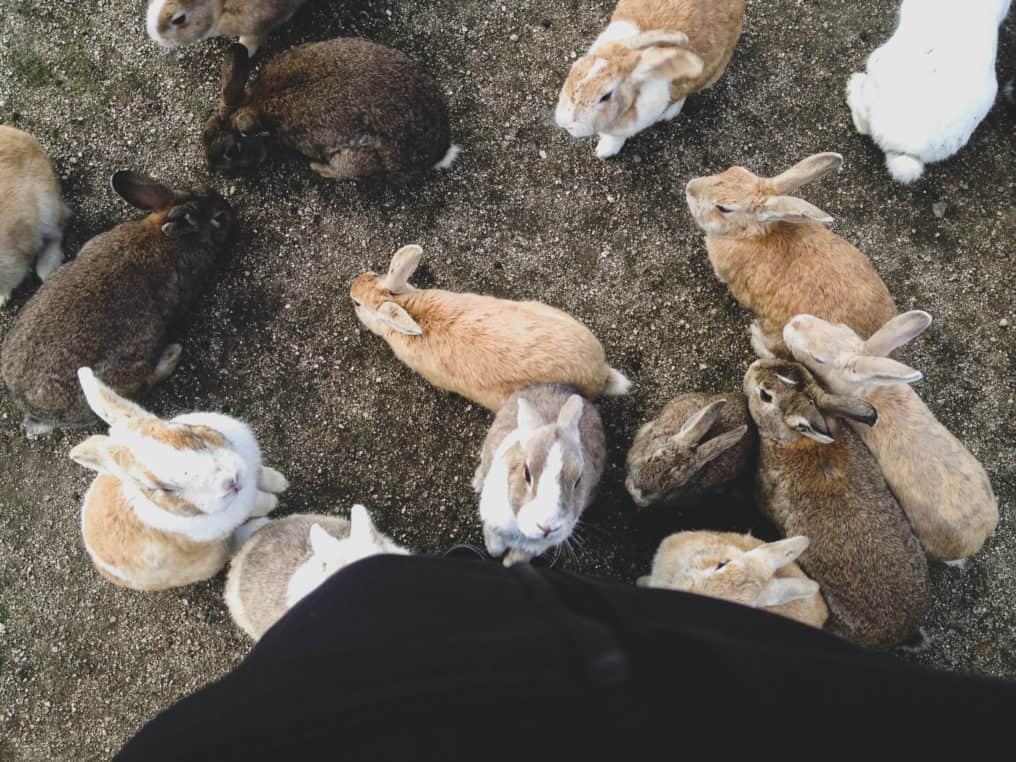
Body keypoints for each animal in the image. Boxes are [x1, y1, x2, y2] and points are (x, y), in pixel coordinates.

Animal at [1, 171, 235, 438]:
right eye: (219, 218)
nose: (231, 212)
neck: (163, 232)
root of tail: (36, 411)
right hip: (126, 372)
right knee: (145, 382)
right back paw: (172, 355)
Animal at [68, 368, 289, 591]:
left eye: (187, 430)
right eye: (165, 490)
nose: (231, 480)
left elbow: (263, 477)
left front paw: (281, 482)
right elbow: (259, 503)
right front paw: (273, 502)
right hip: (210, 559)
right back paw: (260, 525)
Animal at [203, 41, 459, 183]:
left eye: (231, 152)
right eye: (206, 132)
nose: (210, 165)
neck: (255, 103)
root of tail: (438, 150)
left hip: (356, 157)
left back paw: (319, 169)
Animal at [472, 384, 607, 566]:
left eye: (578, 480)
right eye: (526, 473)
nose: (547, 527)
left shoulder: (534, 548)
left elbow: (514, 560)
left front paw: (506, 563)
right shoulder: (491, 522)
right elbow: (494, 547)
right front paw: (493, 554)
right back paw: (477, 482)